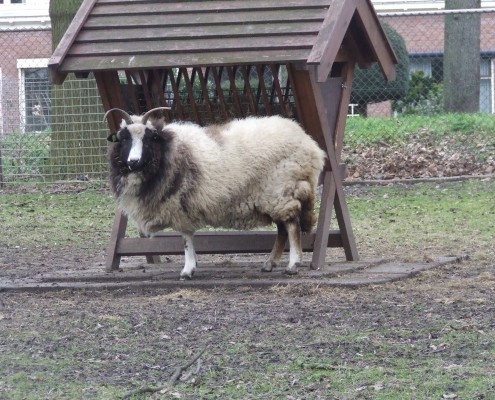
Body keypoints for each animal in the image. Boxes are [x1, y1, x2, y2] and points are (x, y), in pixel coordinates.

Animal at [104, 108, 328, 280]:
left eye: (149, 138)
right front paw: (192, 266)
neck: (169, 149)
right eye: (123, 139)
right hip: (272, 196)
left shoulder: (180, 204)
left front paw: (187, 270)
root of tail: (310, 145)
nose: (133, 162)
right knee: (282, 229)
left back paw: (293, 265)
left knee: (291, 226)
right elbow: (187, 238)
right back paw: (270, 263)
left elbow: (186, 239)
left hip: (281, 190)